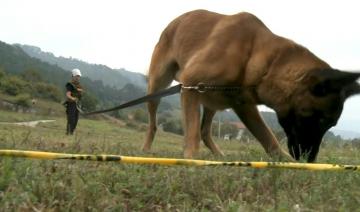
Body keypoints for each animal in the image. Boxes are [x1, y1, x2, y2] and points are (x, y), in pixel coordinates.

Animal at [143, 9, 360, 162]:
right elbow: (192, 134)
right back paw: (146, 149)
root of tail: (175, 22)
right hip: (158, 86)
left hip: (210, 98)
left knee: (205, 131)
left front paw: (288, 163)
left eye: (330, 125)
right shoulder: (190, 85)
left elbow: (268, 138)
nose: (310, 160)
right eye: (321, 121)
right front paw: (190, 160)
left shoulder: (244, 106)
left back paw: (219, 156)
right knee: (154, 123)